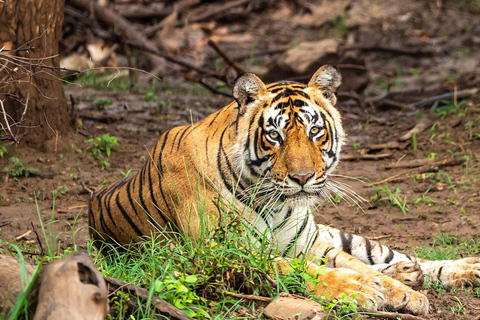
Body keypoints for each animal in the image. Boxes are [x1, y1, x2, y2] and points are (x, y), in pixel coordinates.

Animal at [89, 64, 480, 316]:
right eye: (274, 135)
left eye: (314, 131)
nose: (303, 177)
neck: (273, 202)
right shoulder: (226, 252)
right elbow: (307, 271)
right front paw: (361, 291)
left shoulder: (309, 243)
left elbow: (358, 265)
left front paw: (403, 294)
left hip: (337, 234)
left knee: (397, 256)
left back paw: (458, 270)